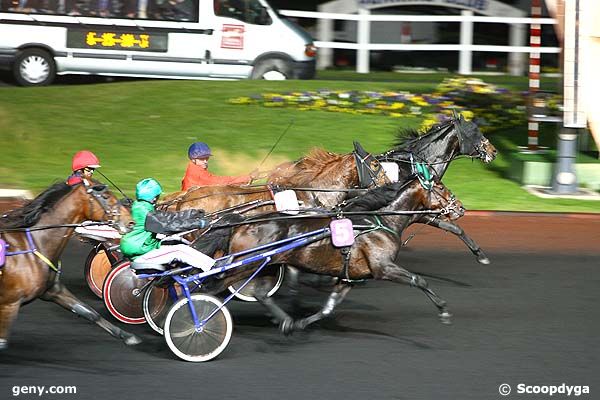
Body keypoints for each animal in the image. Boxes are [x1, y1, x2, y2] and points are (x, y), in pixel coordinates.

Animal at [0, 181, 139, 350]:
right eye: (105, 196)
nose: (130, 222)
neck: (35, 243)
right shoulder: (9, 304)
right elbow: (2, 343)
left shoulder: (53, 290)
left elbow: (89, 312)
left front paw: (127, 336)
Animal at [197, 177, 464, 332]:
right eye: (440, 187)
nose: (460, 208)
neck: (379, 221)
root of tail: (242, 221)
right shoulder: (383, 267)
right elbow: (419, 280)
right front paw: (444, 311)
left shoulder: (349, 277)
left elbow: (329, 307)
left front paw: (302, 322)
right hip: (246, 264)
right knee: (214, 285)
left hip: (268, 265)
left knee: (261, 293)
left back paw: (286, 321)